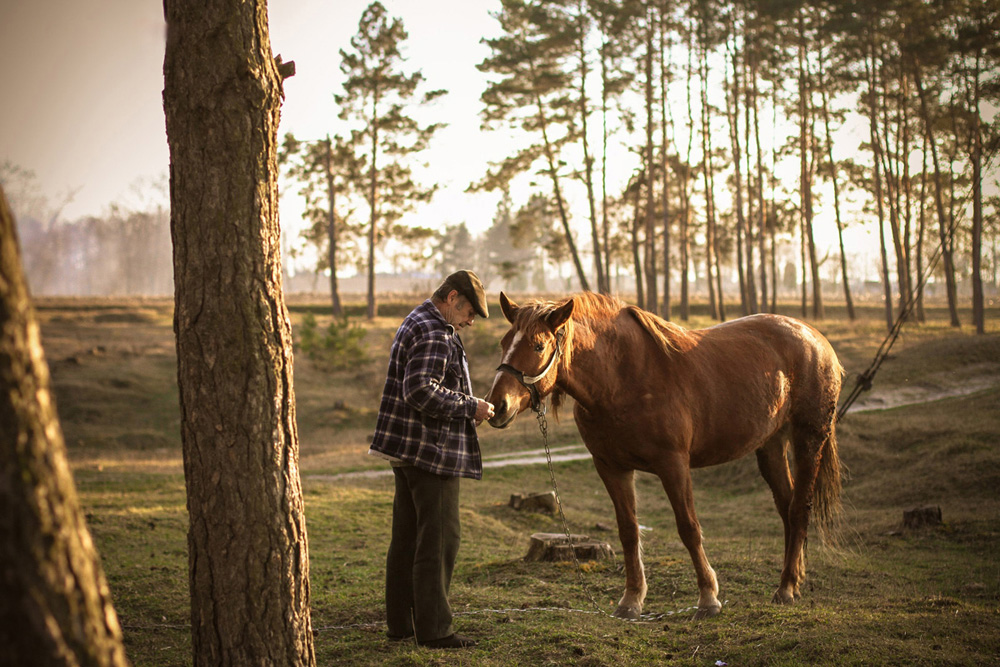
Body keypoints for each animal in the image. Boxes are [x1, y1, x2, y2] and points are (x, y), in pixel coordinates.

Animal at [484, 292, 844, 620]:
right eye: (504, 342)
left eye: (538, 345)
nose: (497, 405)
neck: (621, 378)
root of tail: (817, 340)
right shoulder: (611, 468)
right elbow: (628, 531)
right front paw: (631, 600)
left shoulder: (674, 465)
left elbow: (689, 527)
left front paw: (708, 598)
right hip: (770, 446)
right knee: (786, 507)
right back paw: (792, 581)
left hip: (808, 440)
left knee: (799, 509)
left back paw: (786, 588)